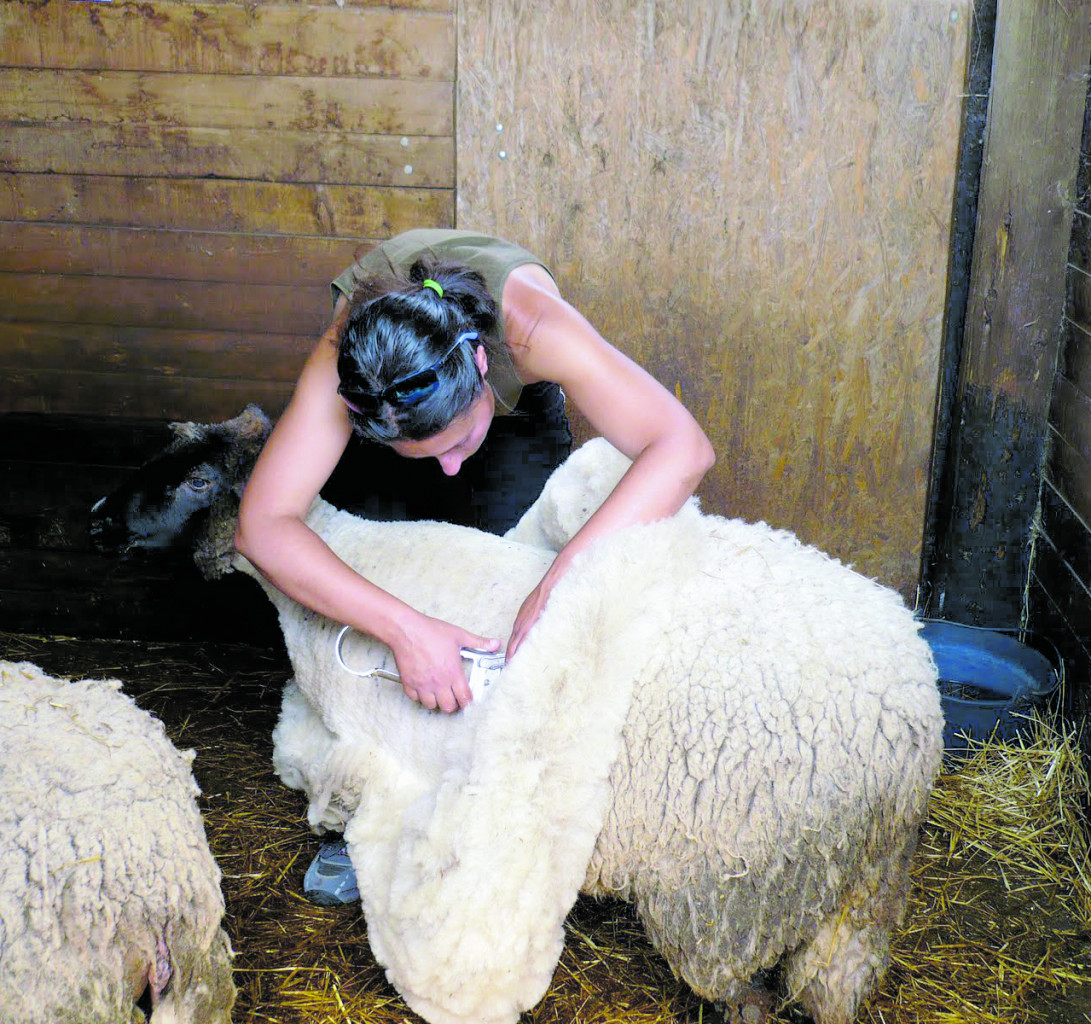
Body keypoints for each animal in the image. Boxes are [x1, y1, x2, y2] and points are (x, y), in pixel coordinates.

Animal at [91, 412, 946, 1024]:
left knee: (743, 989)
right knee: (835, 982)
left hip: (729, 889)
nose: (95, 517)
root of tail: (905, 715)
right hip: (859, 893)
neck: (335, 571)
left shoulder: (379, 751)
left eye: (196, 481)